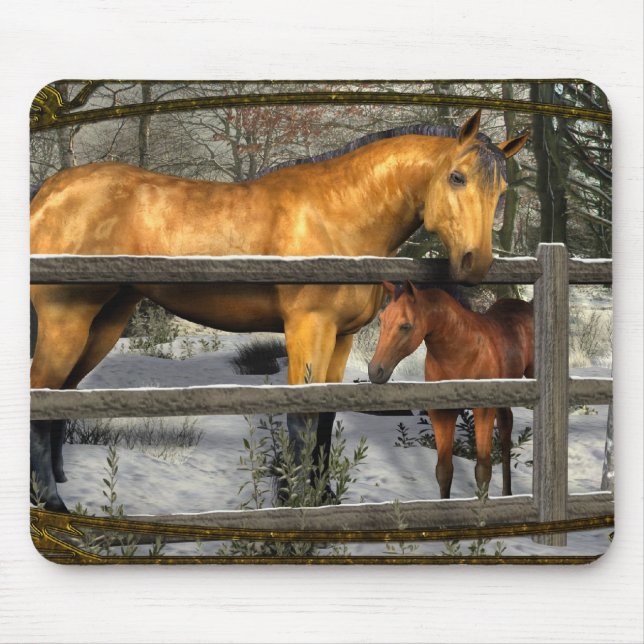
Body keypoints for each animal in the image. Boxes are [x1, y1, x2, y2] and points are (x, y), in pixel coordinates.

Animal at [368, 281, 534, 498]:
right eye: (381, 320)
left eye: (405, 326)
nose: (375, 371)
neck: (461, 350)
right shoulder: (441, 412)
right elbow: (444, 471)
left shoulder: (483, 410)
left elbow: (483, 469)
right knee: (506, 429)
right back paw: (507, 493)